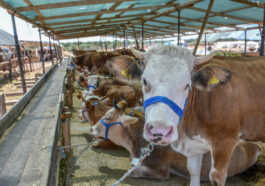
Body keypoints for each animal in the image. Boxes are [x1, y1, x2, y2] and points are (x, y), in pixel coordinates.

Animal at [131, 45, 264, 186]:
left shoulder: (226, 143)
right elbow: (193, 171)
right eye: (144, 81)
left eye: (187, 85)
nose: (159, 131)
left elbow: (217, 178)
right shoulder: (193, 146)